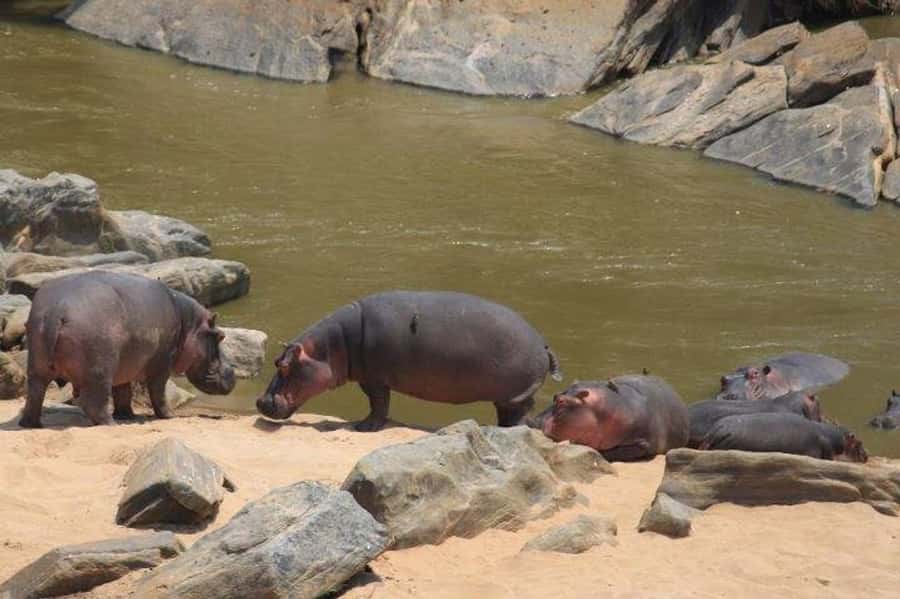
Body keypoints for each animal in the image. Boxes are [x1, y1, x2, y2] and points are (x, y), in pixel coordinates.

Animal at [19, 271, 235, 428]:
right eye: (220, 335)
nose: (231, 372)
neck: (189, 323)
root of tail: (57, 309)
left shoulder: (124, 367)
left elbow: (123, 392)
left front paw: (127, 415)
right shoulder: (161, 365)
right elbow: (158, 393)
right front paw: (169, 416)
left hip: (37, 368)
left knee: (34, 395)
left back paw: (31, 424)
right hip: (100, 370)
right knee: (94, 403)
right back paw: (111, 424)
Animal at [256, 291, 561, 431]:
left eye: (284, 365)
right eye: (275, 361)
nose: (260, 401)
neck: (332, 346)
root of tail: (544, 344)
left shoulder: (374, 379)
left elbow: (378, 404)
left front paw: (364, 427)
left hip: (516, 394)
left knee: (520, 415)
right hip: (507, 396)